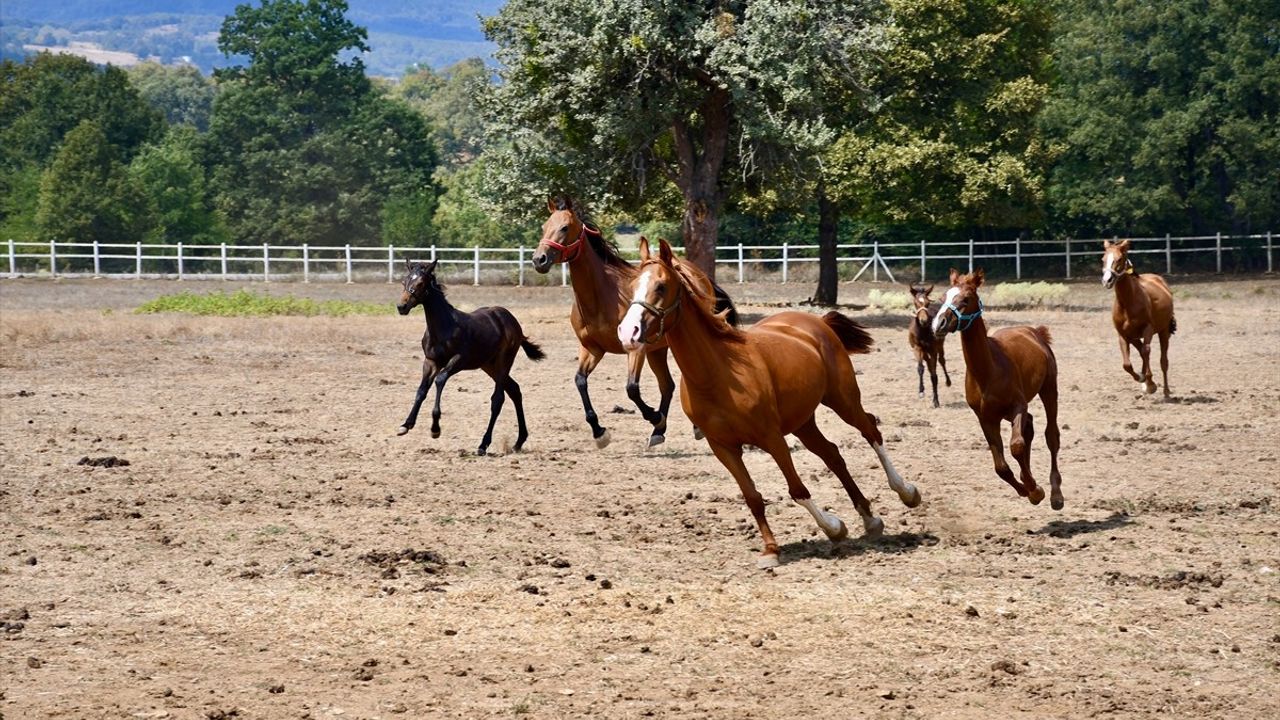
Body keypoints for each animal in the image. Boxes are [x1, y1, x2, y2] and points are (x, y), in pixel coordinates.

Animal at [394, 258, 545, 453]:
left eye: (420, 283)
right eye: (404, 282)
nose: (401, 306)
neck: (444, 327)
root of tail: (511, 319)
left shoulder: (459, 360)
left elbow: (440, 380)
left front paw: (435, 429)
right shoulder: (431, 361)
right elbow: (421, 390)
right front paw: (406, 424)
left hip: (503, 362)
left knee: (498, 399)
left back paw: (483, 444)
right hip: (489, 365)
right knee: (514, 390)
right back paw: (519, 441)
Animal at [532, 194, 742, 443]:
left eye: (565, 227)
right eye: (544, 226)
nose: (539, 259)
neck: (601, 297)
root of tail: (699, 275)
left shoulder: (636, 348)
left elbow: (631, 388)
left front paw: (654, 416)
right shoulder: (592, 348)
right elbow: (580, 381)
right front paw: (599, 431)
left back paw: (687, 426)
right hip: (658, 350)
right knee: (667, 385)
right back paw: (659, 432)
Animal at [611, 238, 921, 568]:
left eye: (661, 286)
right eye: (632, 287)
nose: (627, 332)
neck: (718, 373)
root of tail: (816, 321)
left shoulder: (771, 438)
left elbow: (797, 489)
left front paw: (832, 527)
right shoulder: (723, 447)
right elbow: (753, 497)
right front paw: (772, 549)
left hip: (843, 399)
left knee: (870, 431)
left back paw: (907, 493)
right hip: (802, 421)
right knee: (833, 455)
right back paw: (869, 519)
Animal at [931, 269, 1070, 509]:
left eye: (965, 299)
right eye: (943, 297)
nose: (939, 324)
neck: (988, 371)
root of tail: (1035, 332)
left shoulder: (1018, 406)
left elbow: (1016, 445)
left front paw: (1036, 490)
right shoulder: (985, 418)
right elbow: (1001, 467)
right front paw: (1027, 489)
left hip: (1049, 389)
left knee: (1051, 435)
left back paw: (1056, 494)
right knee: (1030, 426)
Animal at [1100, 238, 1177, 394]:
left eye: (1119, 259)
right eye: (1103, 259)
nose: (1107, 280)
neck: (1128, 302)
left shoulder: (1148, 329)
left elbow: (1147, 351)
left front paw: (1151, 383)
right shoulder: (1123, 335)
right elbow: (1127, 364)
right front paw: (1142, 378)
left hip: (1163, 331)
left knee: (1163, 361)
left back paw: (1166, 391)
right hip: (1135, 336)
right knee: (1142, 352)